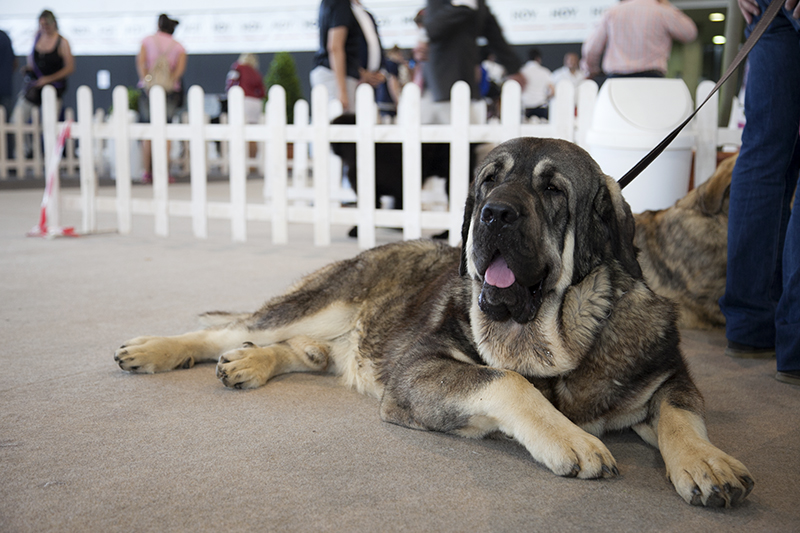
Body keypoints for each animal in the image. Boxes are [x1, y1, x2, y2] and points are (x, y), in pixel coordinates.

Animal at [115, 137, 752, 508]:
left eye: (552, 189)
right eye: (489, 179)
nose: (493, 214)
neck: (559, 336)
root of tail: (382, 246)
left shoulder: (667, 374)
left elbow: (680, 413)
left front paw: (706, 461)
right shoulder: (419, 373)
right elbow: (508, 382)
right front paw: (571, 438)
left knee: (304, 350)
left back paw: (249, 363)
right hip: (324, 303)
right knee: (232, 328)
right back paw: (155, 349)